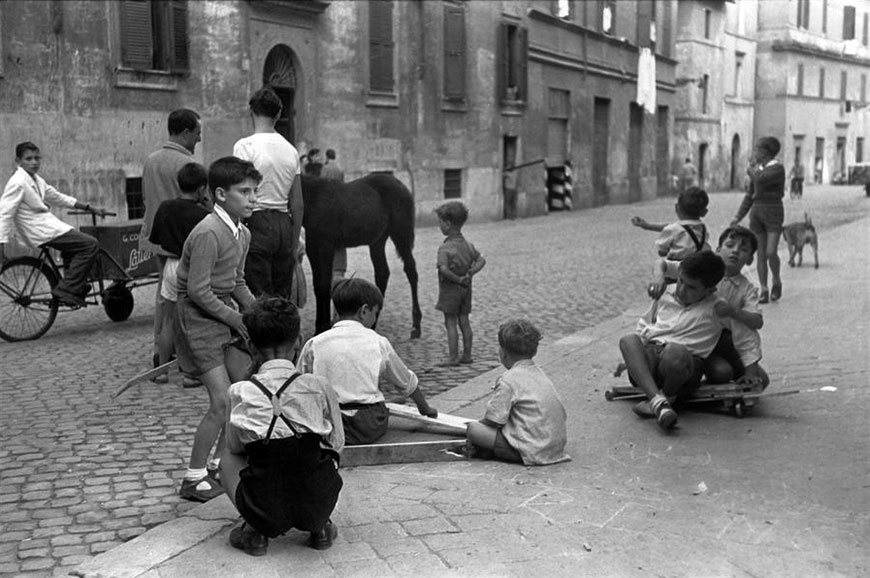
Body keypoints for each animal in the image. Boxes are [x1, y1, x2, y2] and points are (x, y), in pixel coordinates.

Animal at [300, 173, 422, 340]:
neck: (314, 198)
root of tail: (402, 186)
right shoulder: (312, 247)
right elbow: (318, 285)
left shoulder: (326, 246)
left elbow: (324, 285)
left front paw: (322, 328)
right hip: (378, 240)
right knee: (382, 272)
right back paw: (373, 323)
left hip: (400, 234)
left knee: (411, 271)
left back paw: (416, 327)